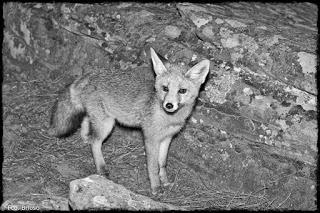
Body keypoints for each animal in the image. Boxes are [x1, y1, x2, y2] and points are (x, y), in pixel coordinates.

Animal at [48, 47, 210, 195]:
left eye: (182, 91)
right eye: (165, 88)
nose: (169, 105)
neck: (169, 119)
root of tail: (92, 74)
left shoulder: (167, 138)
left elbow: (162, 163)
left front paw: (165, 182)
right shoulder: (151, 138)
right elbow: (153, 166)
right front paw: (155, 187)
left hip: (99, 118)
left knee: (86, 120)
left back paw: (84, 137)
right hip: (107, 125)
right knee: (95, 143)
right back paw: (101, 168)